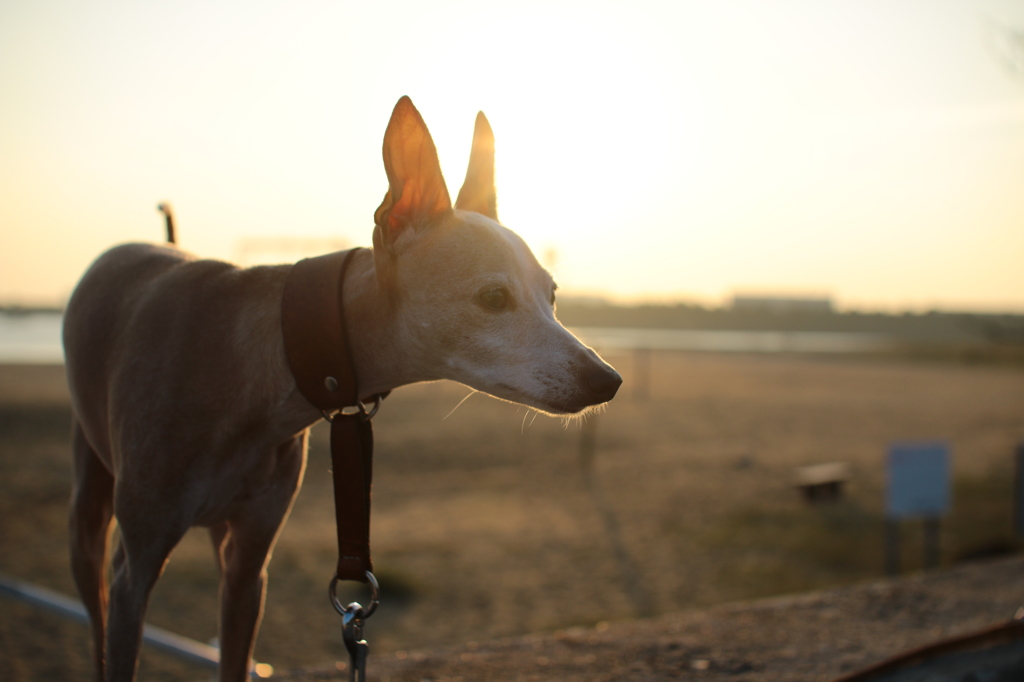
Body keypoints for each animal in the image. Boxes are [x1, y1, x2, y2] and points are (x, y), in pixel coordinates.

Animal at [66, 96, 622, 679]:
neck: (256, 362)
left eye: (552, 296)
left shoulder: (249, 566)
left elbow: (236, 656)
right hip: (91, 519)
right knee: (96, 612)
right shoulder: (137, 564)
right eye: (493, 297)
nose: (608, 381)